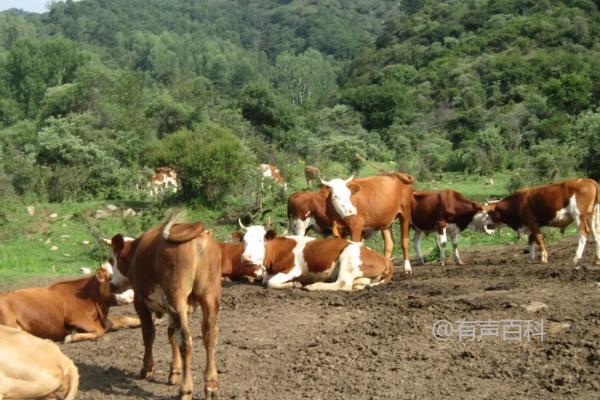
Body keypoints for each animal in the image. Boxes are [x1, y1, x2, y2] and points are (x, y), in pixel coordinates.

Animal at [0, 264, 139, 342]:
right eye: (111, 278)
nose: (132, 295)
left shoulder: (103, 320)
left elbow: (124, 318)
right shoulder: (75, 318)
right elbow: (99, 331)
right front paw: (71, 337)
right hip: (8, 320)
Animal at [106, 216, 221, 400]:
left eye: (111, 260)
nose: (111, 284)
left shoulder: (140, 301)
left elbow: (148, 334)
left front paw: (147, 368)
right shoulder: (171, 309)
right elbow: (171, 334)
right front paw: (174, 372)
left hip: (177, 298)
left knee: (186, 341)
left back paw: (185, 389)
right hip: (209, 297)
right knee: (209, 337)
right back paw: (211, 385)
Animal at [237, 222, 396, 290]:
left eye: (260, 240)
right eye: (244, 240)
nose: (246, 257)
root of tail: (383, 258)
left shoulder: (292, 269)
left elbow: (270, 283)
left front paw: (294, 284)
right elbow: (265, 280)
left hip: (348, 254)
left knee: (343, 284)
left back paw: (313, 286)